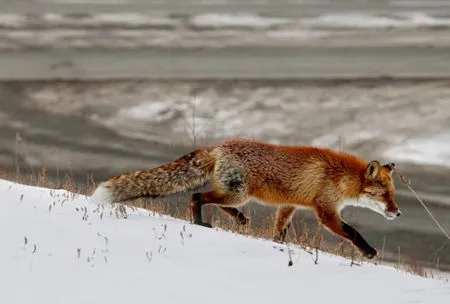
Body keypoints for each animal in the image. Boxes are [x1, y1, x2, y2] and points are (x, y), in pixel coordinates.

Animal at [90, 138, 400, 258]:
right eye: (385, 195)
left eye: (393, 195)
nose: (398, 213)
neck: (338, 177)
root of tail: (220, 145)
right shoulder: (325, 211)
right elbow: (353, 232)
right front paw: (369, 252)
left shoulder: (289, 205)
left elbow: (280, 231)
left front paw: (278, 246)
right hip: (237, 193)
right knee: (197, 196)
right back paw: (199, 223)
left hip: (235, 194)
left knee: (216, 202)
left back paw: (238, 219)